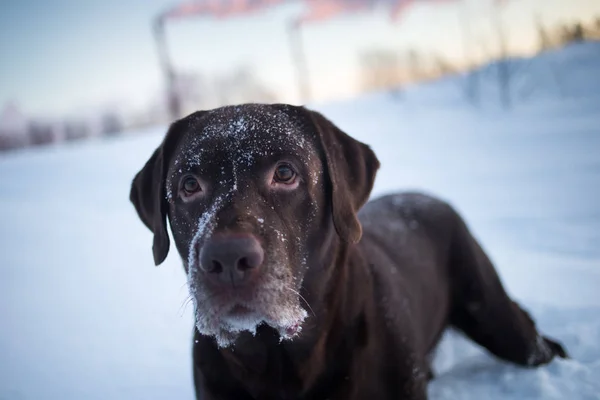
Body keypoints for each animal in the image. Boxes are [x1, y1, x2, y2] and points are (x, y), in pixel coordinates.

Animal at [130, 104, 568, 400]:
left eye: (285, 173)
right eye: (189, 184)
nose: (226, 259)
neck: (280, 360)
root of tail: (429, 198)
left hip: (498, 319)